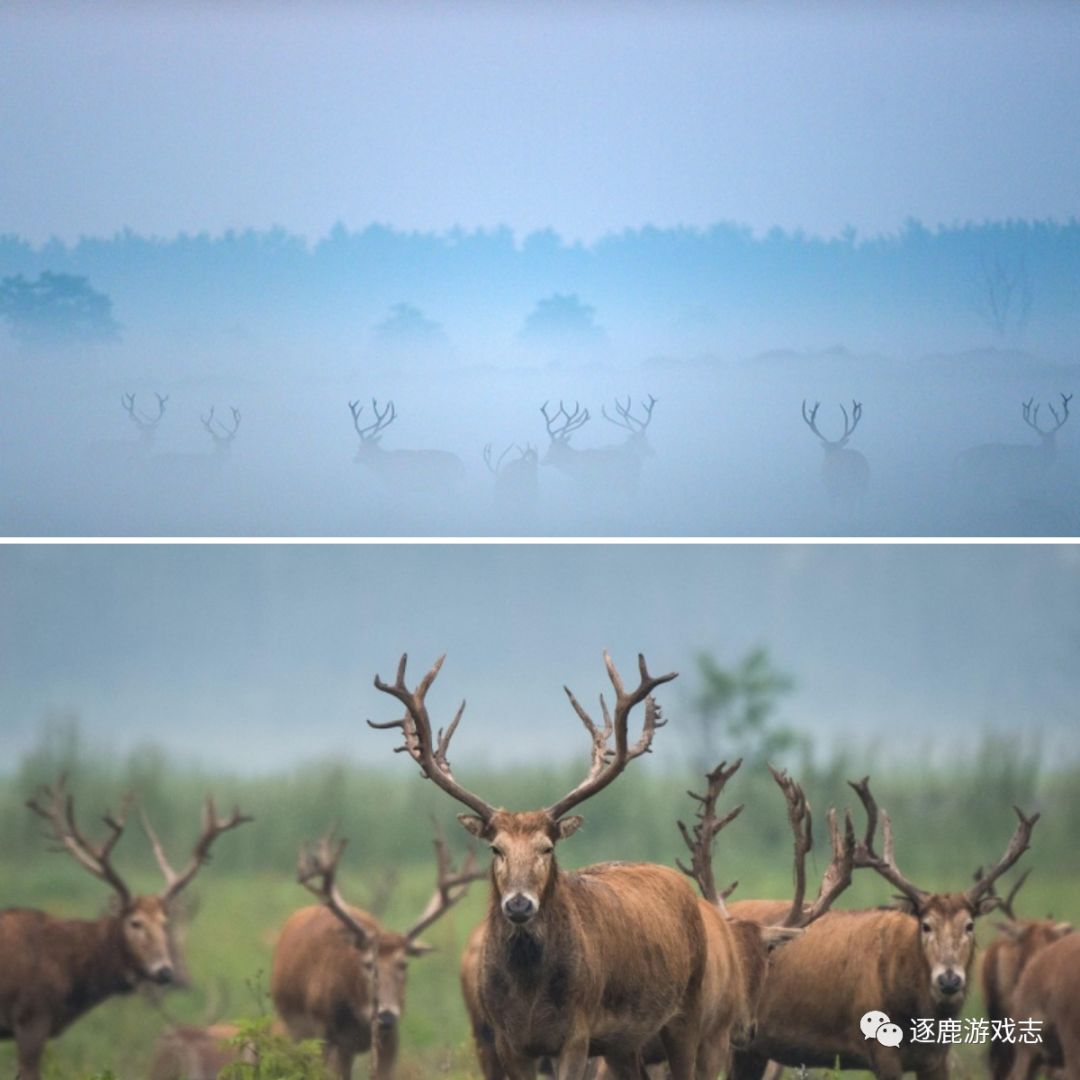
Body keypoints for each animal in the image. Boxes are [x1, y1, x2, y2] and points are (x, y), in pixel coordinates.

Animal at [272, 820, 483, 1075]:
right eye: (367, 964)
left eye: (403, 964)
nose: (386, 1015)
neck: (360, 1015)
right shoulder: (322, 1030)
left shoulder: (390, 1038)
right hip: (295, 1027)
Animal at [371, 648, 708, 1080]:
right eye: (495, 849)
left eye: (547, 848)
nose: (518, 904)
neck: (529, 995)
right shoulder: (507, 1040)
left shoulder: (577, 1034)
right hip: (623, 1042)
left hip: (689, 1007)